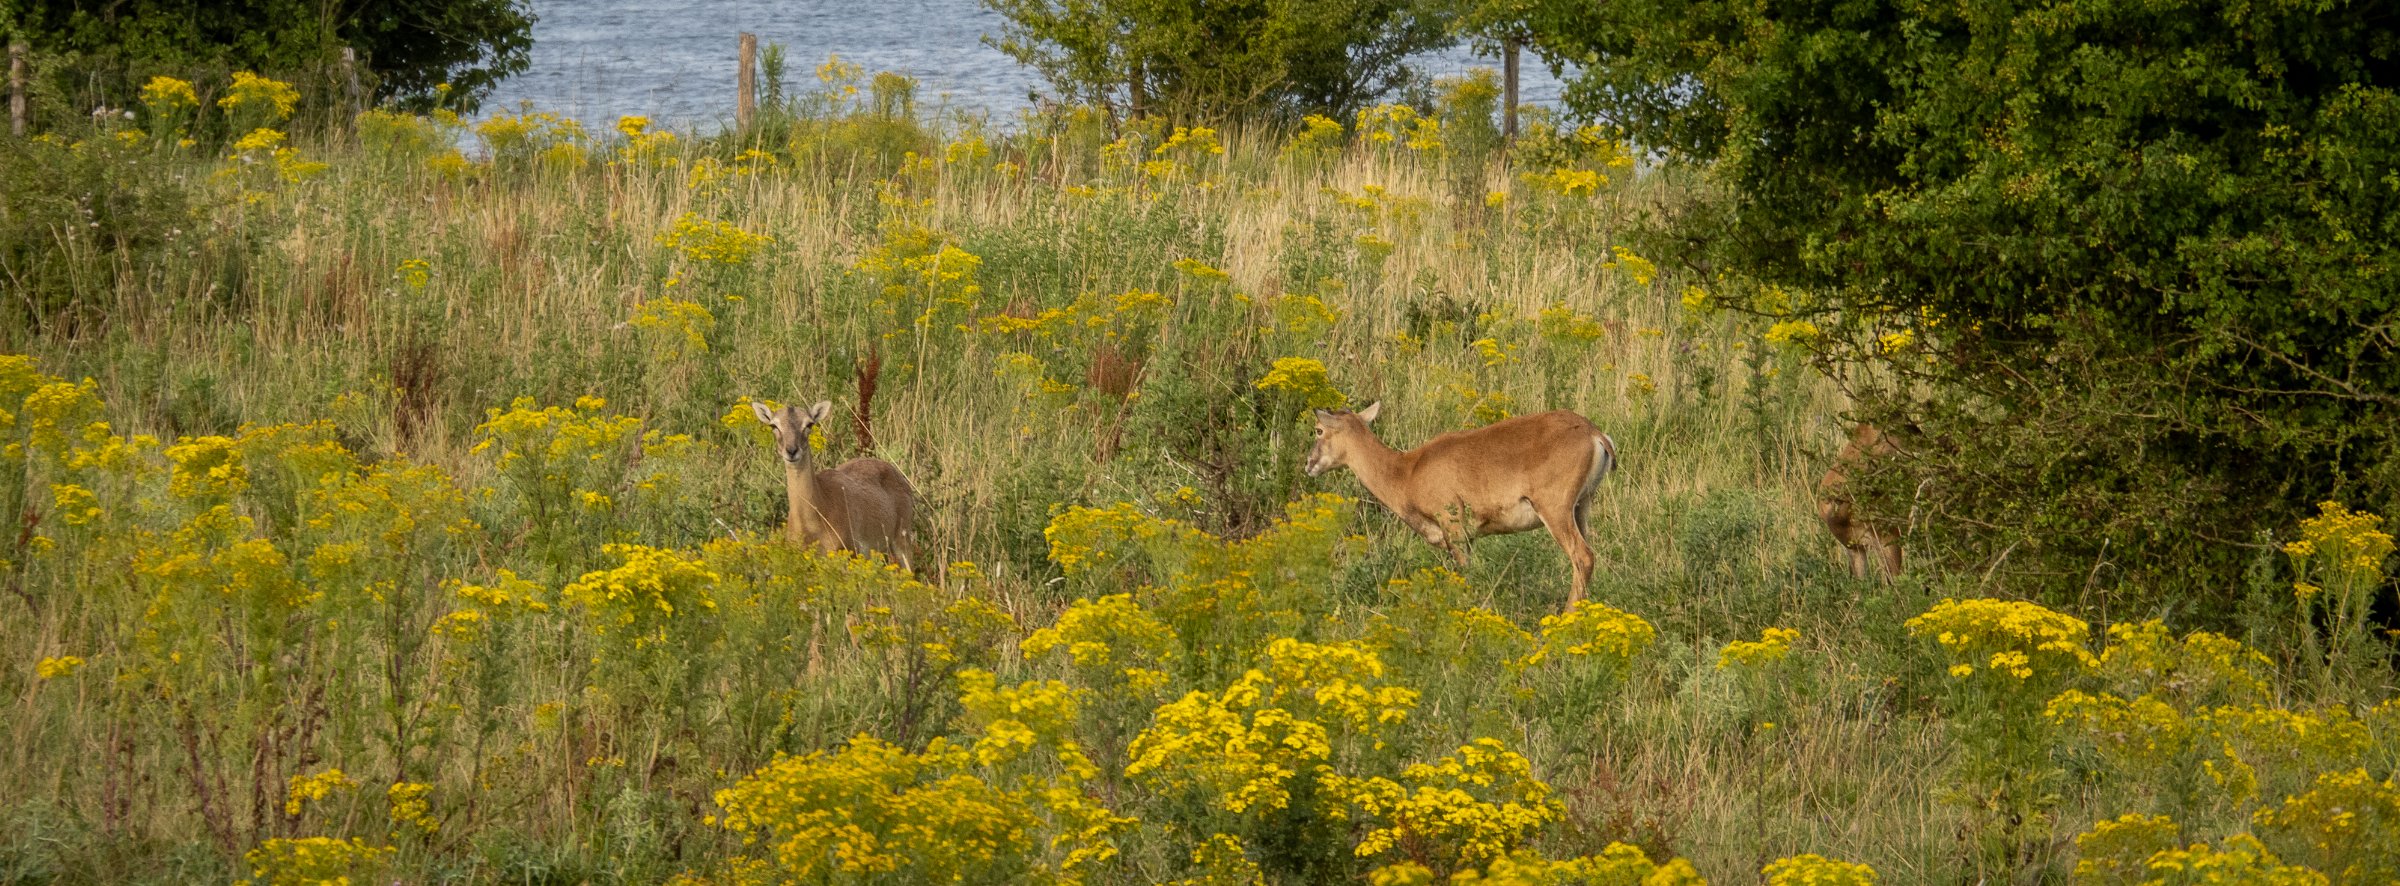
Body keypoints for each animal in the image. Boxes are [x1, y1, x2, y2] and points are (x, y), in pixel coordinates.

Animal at [1306, 403, 1617, 607]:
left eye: (1318, 430)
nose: (1309, 464)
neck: (1408, 470)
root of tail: (1595, 435)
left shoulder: (1453, 530)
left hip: (1555, 510)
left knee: (1583, 556)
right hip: (1581, 507)